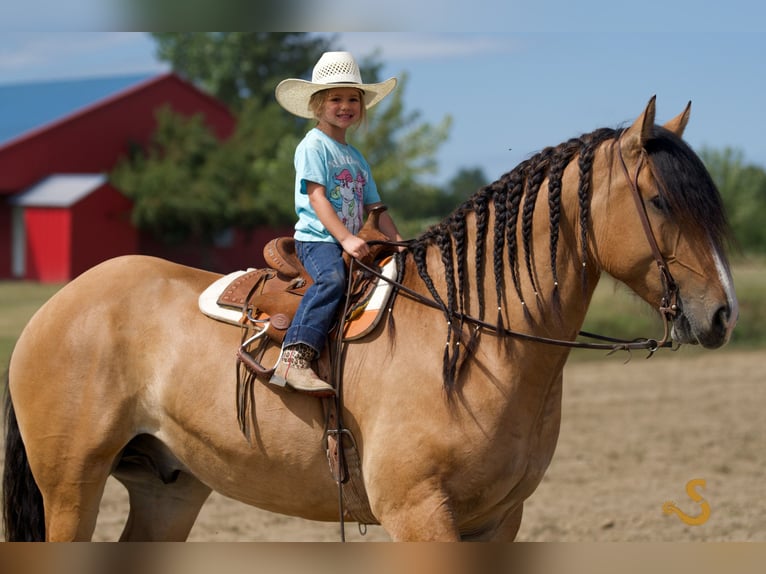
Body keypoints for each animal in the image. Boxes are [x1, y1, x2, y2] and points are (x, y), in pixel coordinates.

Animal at [3, 97, 738, 541]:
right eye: (659, 200)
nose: (724, 313)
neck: (475, 342)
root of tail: (57, 307)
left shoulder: (500, 518)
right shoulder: (418, 514)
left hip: (169, 489)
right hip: (71, 486)